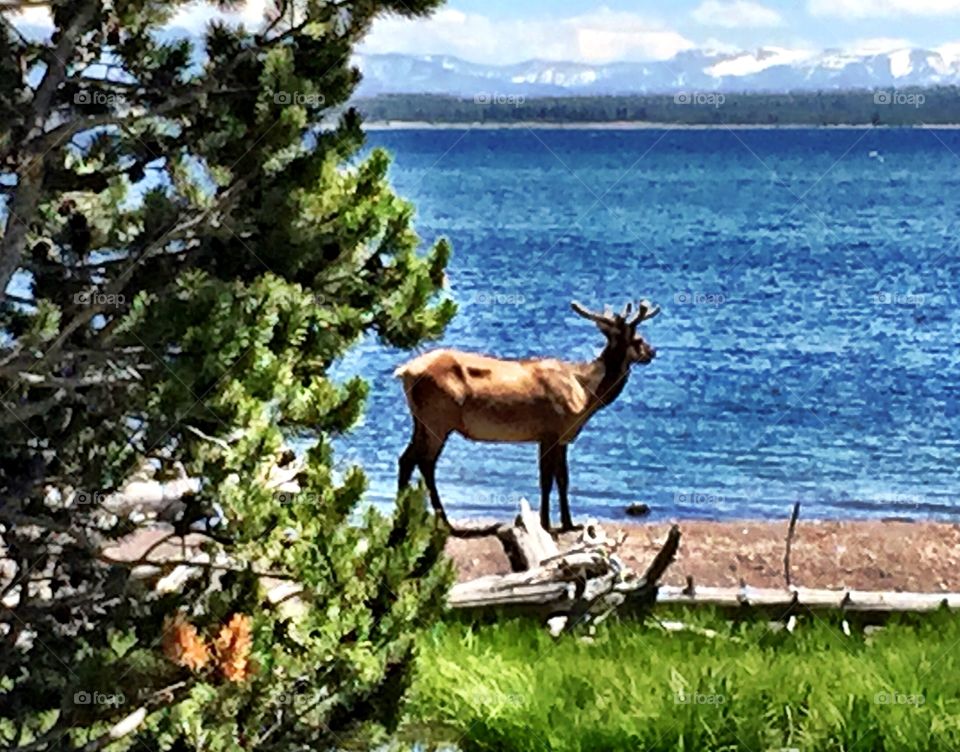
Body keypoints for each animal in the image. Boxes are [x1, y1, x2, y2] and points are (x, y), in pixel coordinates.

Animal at [395, 299, 659, 533]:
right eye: (637, 339)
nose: (652, 351)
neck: (585, 395)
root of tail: (404, 371)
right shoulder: (549, 431)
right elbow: (546, 480)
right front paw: (545, 523)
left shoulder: (562, 436)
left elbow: (563, 479)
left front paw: (568, 523)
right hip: (438, 419)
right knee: (425, 462)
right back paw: (444, 522)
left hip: (421, 420)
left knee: (406, 459)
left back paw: (404, 516)